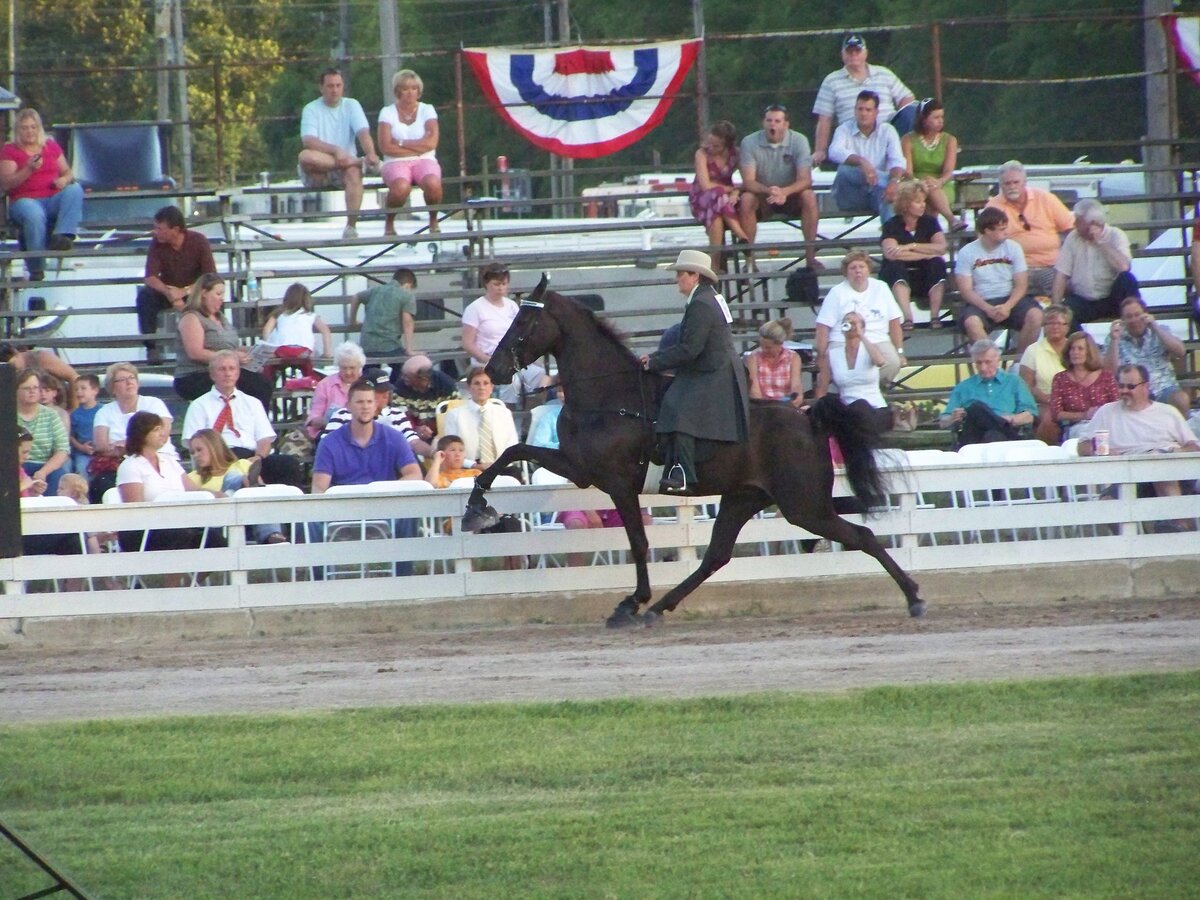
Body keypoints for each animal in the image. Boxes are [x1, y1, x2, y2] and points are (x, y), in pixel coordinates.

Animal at [460, 277, 926, 628]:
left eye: (524, 319)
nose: (492, 370)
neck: (609, 396)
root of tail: (809, 419)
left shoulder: (615, 483)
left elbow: (638, 543)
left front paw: (631, 601)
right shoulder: (579, 468)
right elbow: (513, 450)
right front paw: (476, 509)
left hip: (803, 505)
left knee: (861, 536)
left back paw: (914, 598)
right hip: (744, 498)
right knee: (716, 556)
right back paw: (660, 609)